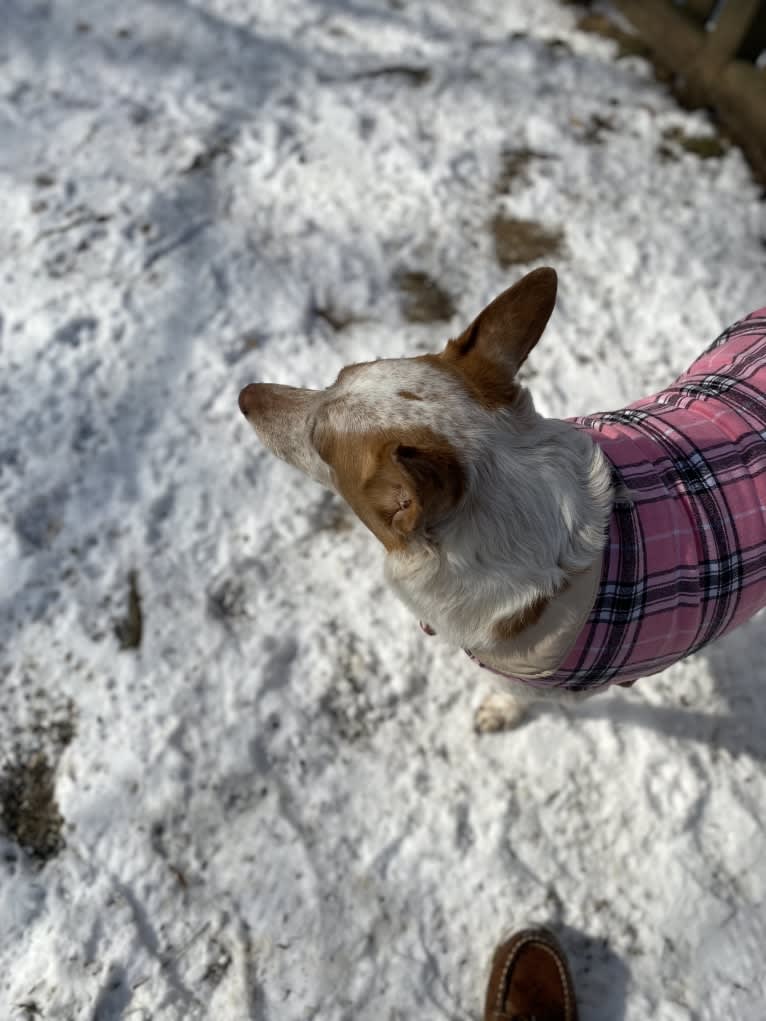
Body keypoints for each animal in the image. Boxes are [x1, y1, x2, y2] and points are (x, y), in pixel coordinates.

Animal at [238, 267, 766, 731]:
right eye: (340, 375)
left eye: (320, 443)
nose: (244, 395)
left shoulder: (544, 681)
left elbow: (514, 696)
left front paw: (498, 712)